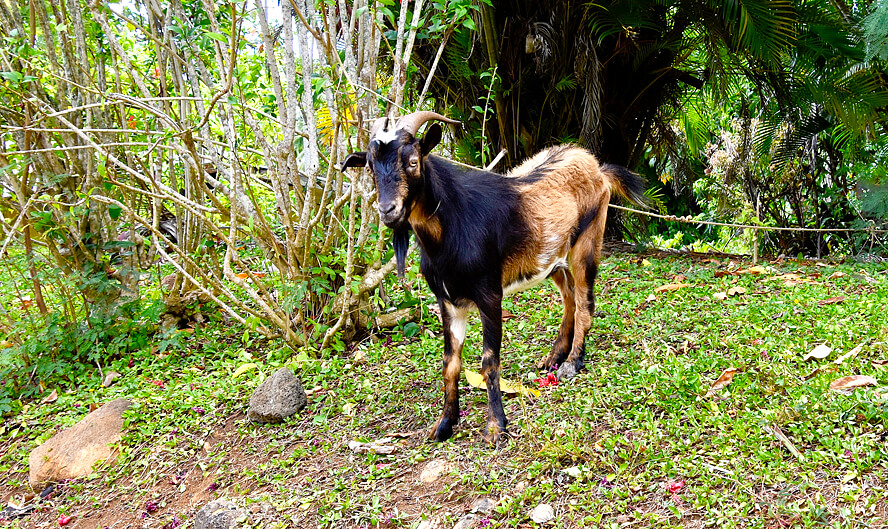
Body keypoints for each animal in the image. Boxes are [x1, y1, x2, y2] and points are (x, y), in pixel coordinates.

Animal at [342, 112, 647, 444]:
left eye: (412, 161)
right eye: (370, 167)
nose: (387, 210)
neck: (453, 227)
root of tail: (597, 167)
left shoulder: (489, 294)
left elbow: (489, 361)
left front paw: (495, 427)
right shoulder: (449, 301)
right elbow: (450, 363)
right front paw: (444, 425)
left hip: (586, 244)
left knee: (584, 304)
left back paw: (571, 362)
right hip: (554, 258)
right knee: (568, 299)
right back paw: (553, 357)